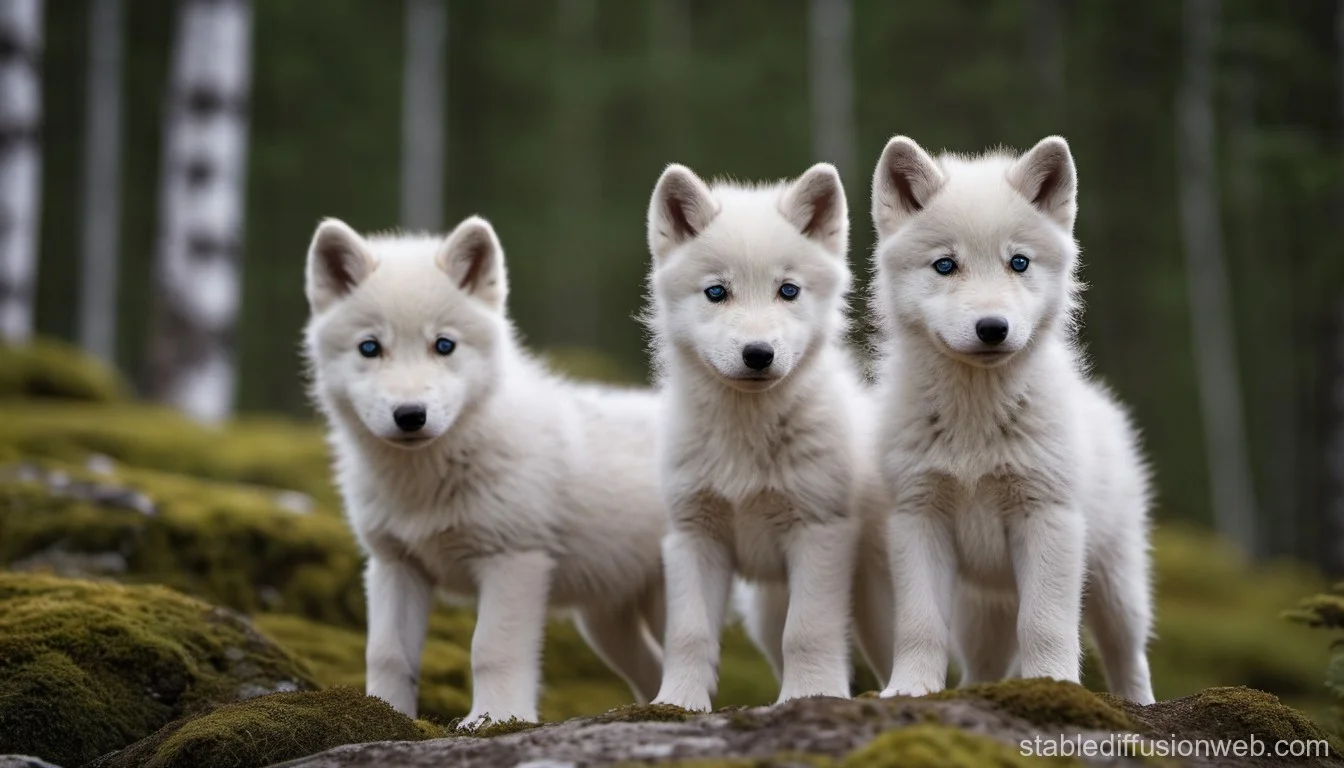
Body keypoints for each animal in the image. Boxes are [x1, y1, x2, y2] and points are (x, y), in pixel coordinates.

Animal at [303, 215, 667, 726]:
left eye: (444, 345)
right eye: (370, 348)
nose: (410, 415)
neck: (426, 480)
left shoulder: (512, 561)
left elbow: (490, 650)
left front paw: (493, 720)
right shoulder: (396, 565)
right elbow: (387, 654)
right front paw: (383, 716)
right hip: (605, 624)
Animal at [642, 162, 892, 711]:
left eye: (788, 291)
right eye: (717, 292)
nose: (758, 354)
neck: (747, 431)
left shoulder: (818, 531)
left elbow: (808, 631)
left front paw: (811, 696)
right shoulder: (693, 535)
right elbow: (689, 634)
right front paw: (676, 704)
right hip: (764, 609)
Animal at [868, 135, 1155, 704]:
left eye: (1018, 262)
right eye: (945, 266)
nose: (992, 328)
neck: (975, 422)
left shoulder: (1048, 520)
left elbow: (1045, 624)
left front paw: (1053, 687)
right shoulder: (917, 521)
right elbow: (919, 624)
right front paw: (910, 690)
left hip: (1116, 585)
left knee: (1128, 655)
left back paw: (1138, 704)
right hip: (981, 609)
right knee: (984, 665)